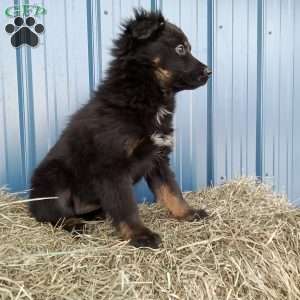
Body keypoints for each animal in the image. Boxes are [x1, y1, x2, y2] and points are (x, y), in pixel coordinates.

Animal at [28, 9, 211, 248]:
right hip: (54, 177)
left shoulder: (158, 157)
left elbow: (172, 190)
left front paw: (187, 213)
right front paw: (139, 235)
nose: (209, 72)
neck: (143, 97)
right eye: (180, 49)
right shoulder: (112, 166)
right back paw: (74, 224)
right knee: (51, 214)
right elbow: (126, 206)